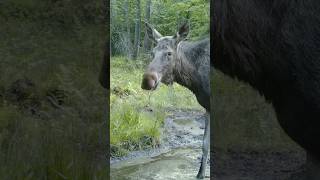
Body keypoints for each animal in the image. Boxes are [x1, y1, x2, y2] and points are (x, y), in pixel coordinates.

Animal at [140, 22, 210, 179]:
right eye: (152, 53)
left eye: (169, 53)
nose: (147, 80)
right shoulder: (208, 106)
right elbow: (205, 143)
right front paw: (200, 174)